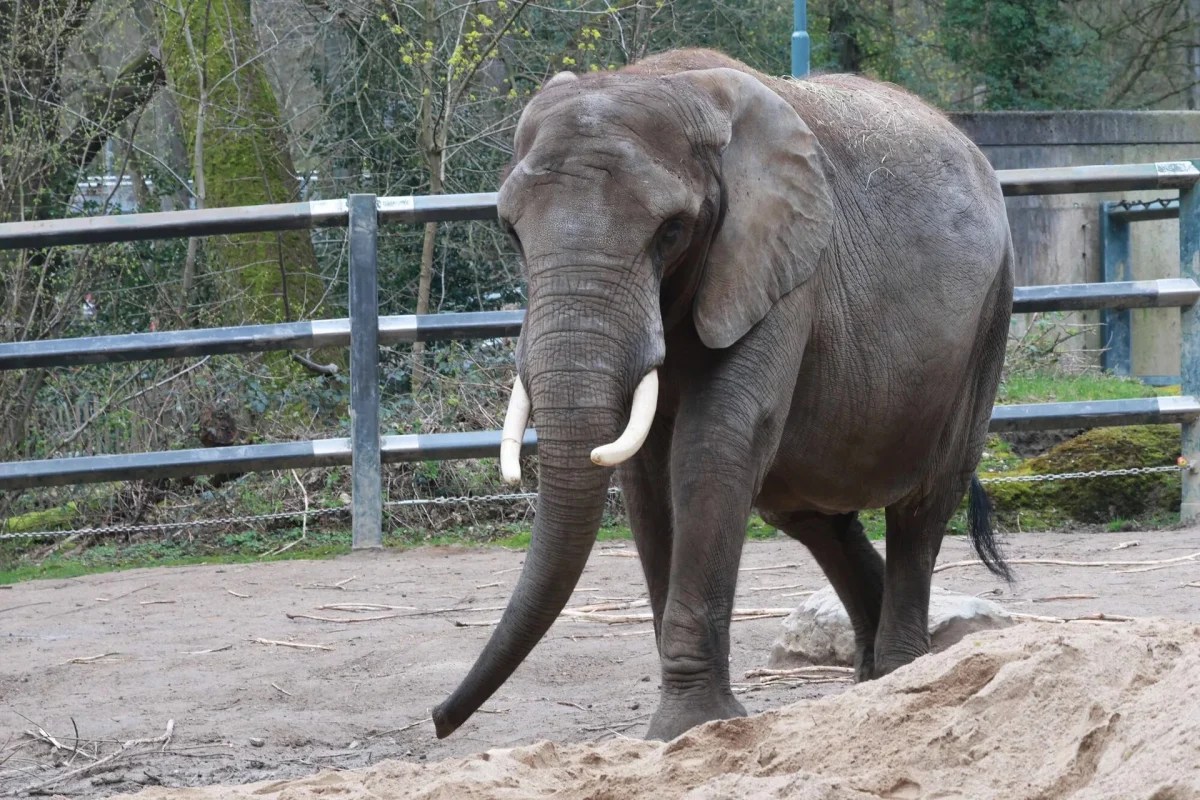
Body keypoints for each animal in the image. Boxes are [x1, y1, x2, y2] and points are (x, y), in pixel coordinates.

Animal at [432, 48, 1014, 743]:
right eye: (512, 234)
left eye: (671, 231)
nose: (437, 720)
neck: (659, 79)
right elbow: (646, 474)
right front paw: (682, 729)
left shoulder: (783, 266)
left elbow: (713, 446)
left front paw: (690, 726)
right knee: (808, 513)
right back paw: (873, 676)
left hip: (989, 318)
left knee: (921, 508)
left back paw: (901, 675)